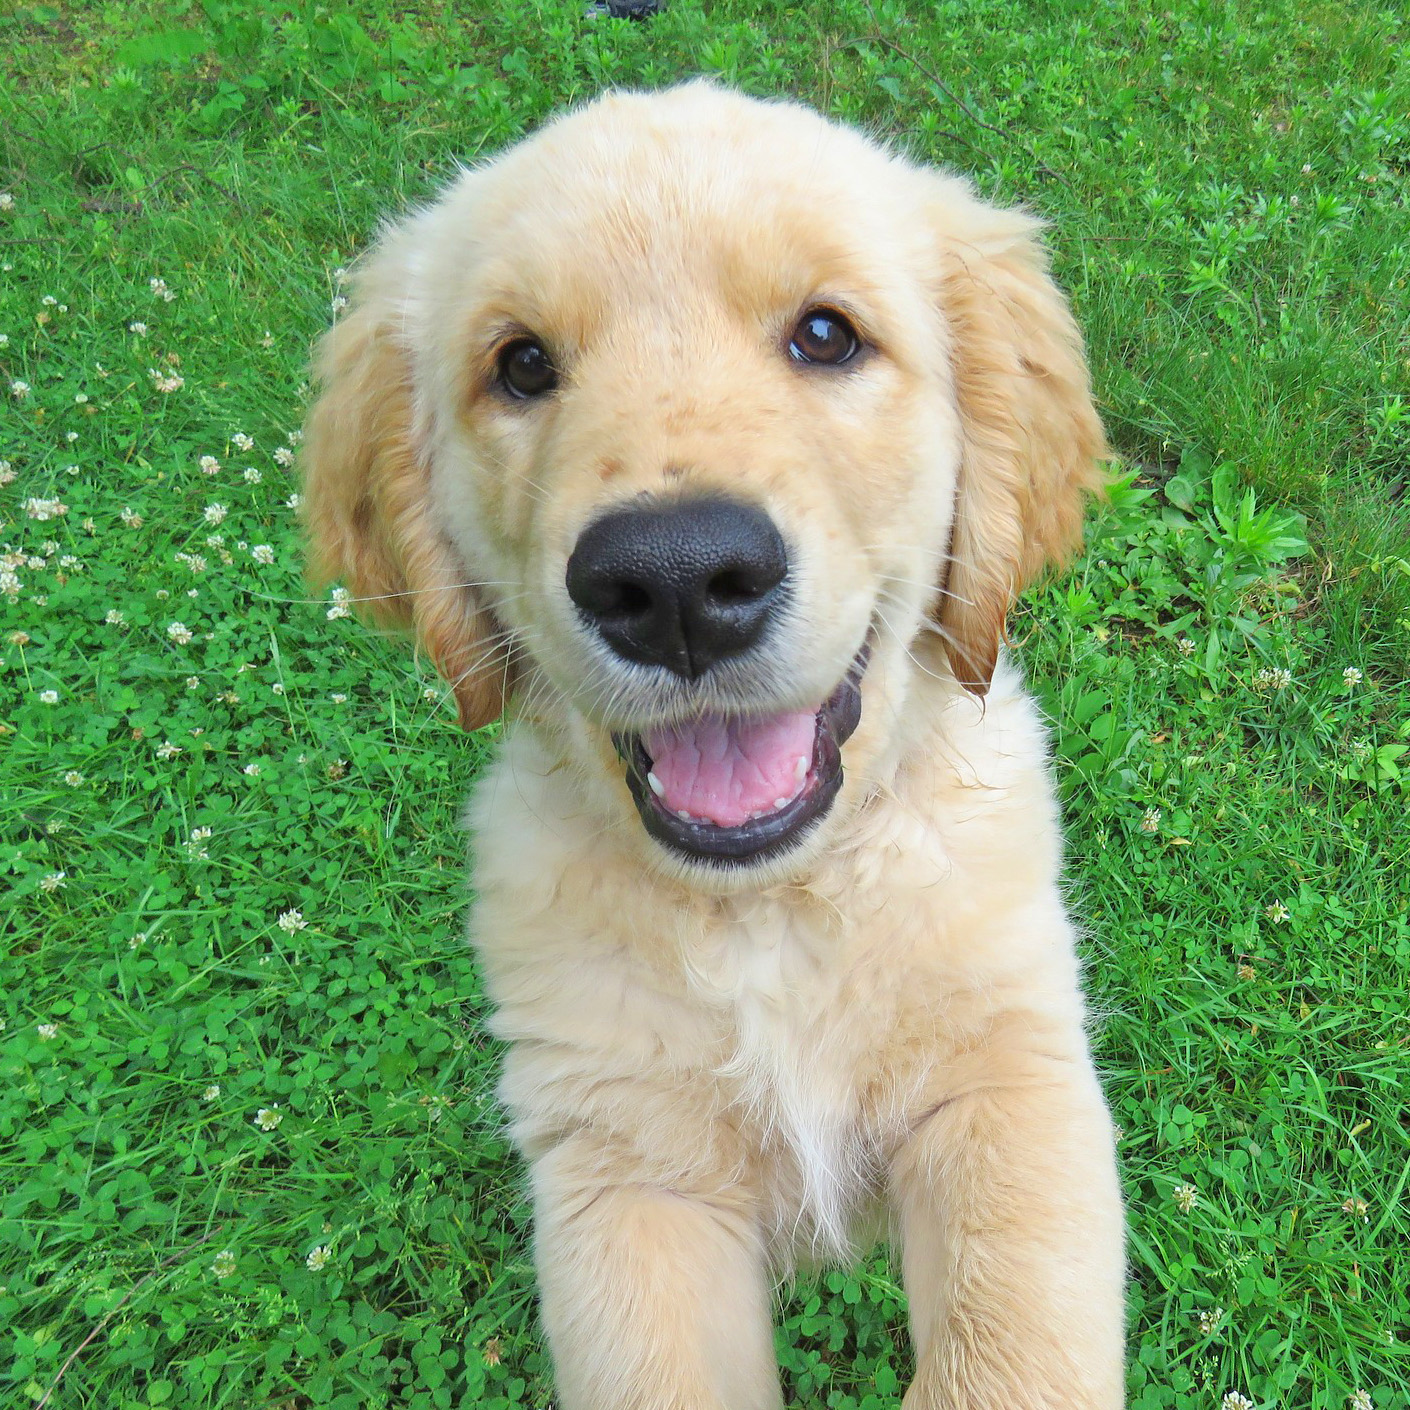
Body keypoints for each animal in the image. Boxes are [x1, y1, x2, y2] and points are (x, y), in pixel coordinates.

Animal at [305, 80, 1122, 1410]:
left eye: (827, 336)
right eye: (520, 364)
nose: (676, 582)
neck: (770, 914)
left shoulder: (1008, 1085)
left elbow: (1010, 1358)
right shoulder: (620, 1166)